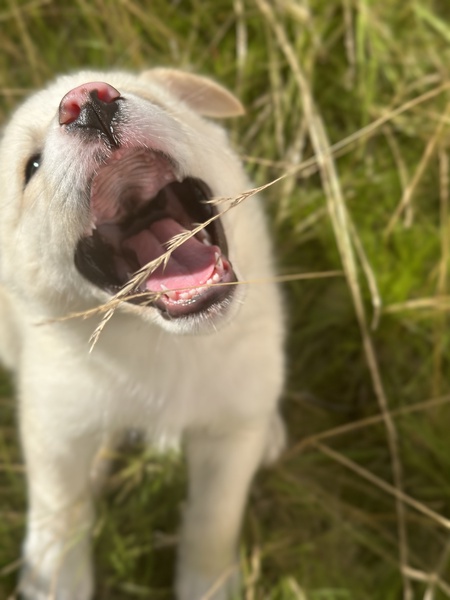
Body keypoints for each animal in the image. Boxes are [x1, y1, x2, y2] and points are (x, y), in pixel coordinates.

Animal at [0, 69, 284, 600]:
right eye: (31, 167)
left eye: (156, 101)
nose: (87, 103)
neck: (165, 348)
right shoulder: (54, 428)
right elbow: (58, 511)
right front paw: (55, 579)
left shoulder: (228, 443)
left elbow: (214, 519)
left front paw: (209, 584)